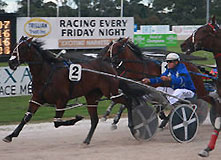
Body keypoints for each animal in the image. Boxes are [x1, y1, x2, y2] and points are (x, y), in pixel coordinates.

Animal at [3, 36, 133, 145]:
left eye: (22, 48)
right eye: (15, 46)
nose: (11, 62)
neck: (46, 73)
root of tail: (109, 65)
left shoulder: (62, 100)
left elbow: (57, 122)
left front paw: (77, 118)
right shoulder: (37, 98)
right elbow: (26, 118)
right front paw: (10, 136)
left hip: (111, 92)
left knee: (127, 101)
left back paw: (131, 125)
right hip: (92, 96)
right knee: (94, 119)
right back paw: (87, 140)